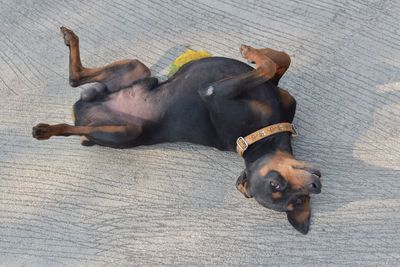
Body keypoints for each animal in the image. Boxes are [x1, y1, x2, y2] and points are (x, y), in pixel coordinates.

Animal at [33, 26, 322, 234]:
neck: (259, 135)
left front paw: (255, 51)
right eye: (275, 184)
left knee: (75, 84)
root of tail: (81, 109)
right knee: (75, 88)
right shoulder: (223, 91)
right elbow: (276, 63)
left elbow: (276, 64)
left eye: (299, 200)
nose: (316, 185)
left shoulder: (246, 93)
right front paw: (253, 51)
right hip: (132, 88)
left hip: (128, 120)